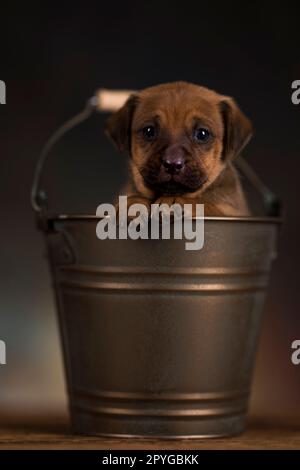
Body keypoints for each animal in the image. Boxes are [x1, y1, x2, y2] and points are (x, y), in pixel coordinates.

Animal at [104, 81, 252, 218]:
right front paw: (130, 204)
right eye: (149, 131)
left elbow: (206, 204)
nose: (172, 165)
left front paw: (176, 202)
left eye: (202, 134)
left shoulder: (233, 212)